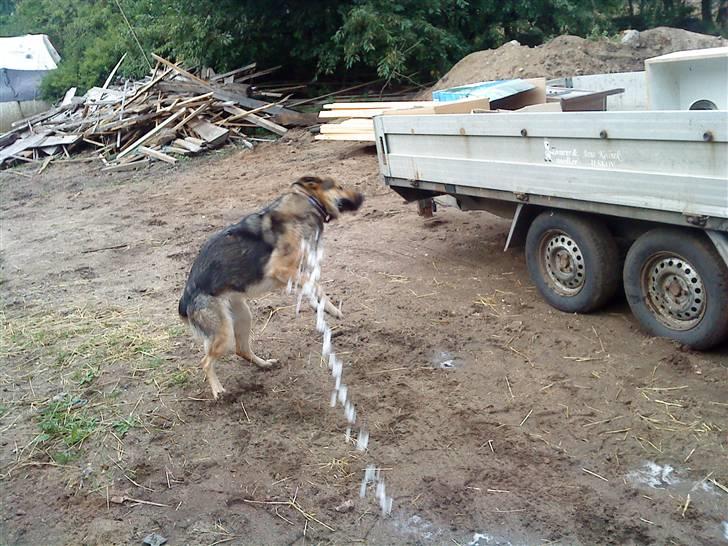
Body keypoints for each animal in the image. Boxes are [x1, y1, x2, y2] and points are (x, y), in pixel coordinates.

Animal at [177, 176, 364, 398]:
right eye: (340, 187)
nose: (363, 196)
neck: (308, 202)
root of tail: (186, 298)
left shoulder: (297, 272)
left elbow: (314, 287)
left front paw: (324, 308)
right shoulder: (281, 269)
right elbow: (317, 287)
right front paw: (332, 309)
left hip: (243, 316)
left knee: (242, 350)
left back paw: (264, 364)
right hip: (224, 333)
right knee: (205, 361)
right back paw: (218, 390)